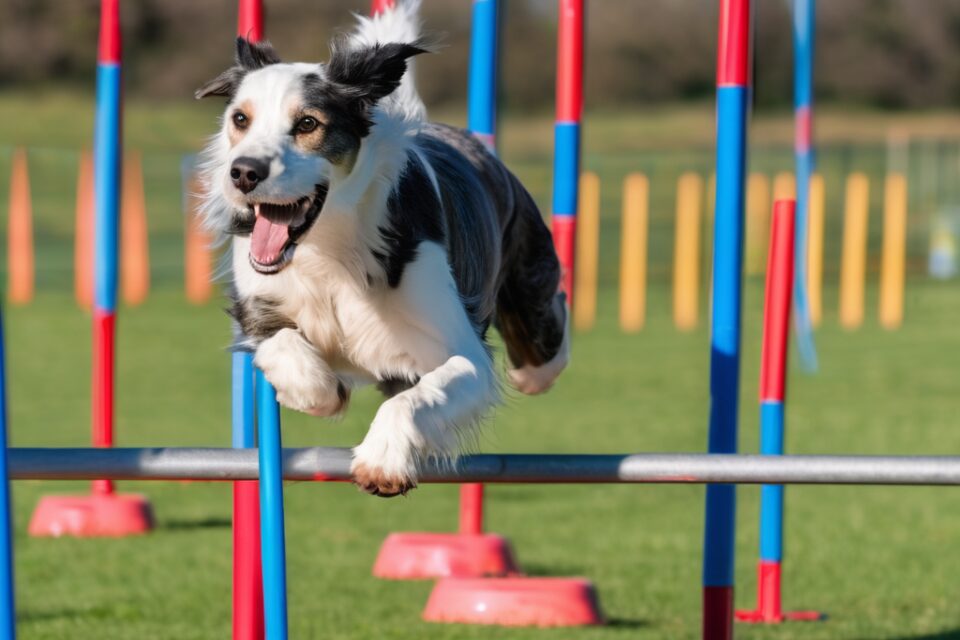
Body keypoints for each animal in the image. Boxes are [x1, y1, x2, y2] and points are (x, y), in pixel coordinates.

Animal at [198, 0, 568, 496]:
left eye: (308, 123)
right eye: (240, 119)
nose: (243, 173)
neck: (328, 248)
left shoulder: (463, 351)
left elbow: (420, 396)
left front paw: (382, 461)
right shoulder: (259, 303)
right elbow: (284, 348)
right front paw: (324, 392)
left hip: (529, 291)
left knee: (541, 343)